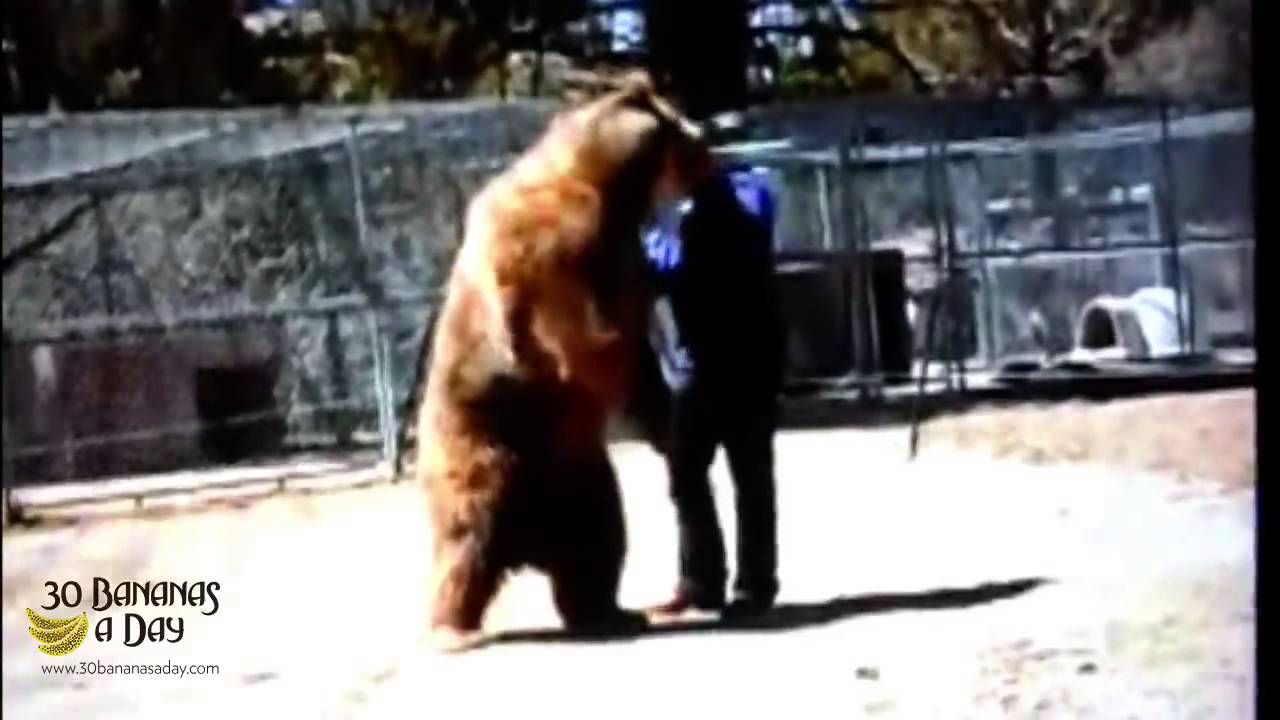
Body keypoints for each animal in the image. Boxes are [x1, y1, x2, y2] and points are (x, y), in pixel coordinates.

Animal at [415, 75, 713, 652]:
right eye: (683, 128)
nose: (708, 137)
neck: (608, 188)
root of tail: (527, 540)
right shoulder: (554, 252)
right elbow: (587, 337)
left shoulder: (618, 249)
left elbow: (640, 360)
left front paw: (664, 420)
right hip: (483, 443)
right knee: (466, 535)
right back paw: (453, 626)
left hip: (577, 475)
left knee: (598, 539)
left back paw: (608, 610)